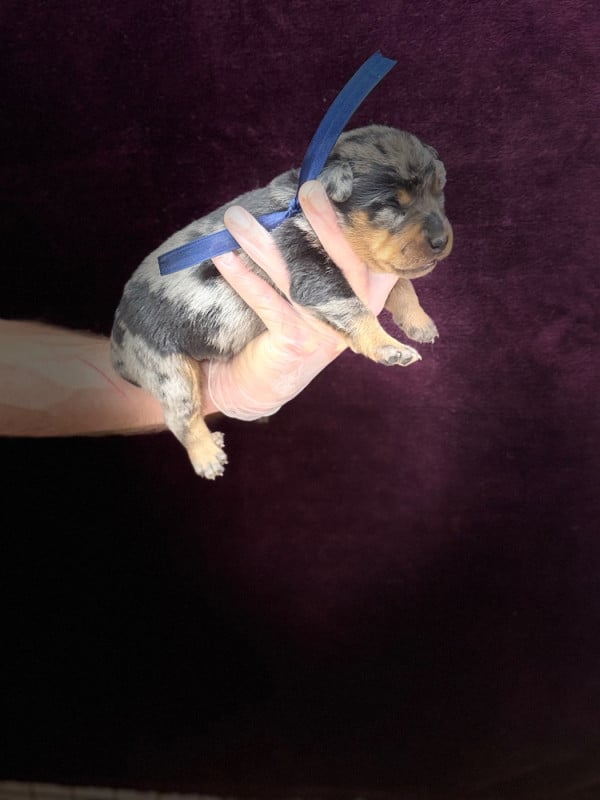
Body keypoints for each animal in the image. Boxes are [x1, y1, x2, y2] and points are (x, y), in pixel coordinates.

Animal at [110, 125, 453, 478]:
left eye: (439, 191)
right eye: (392, 205)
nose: (441, 241)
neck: (301, 207)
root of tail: (116, 347)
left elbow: (402, 283)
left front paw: (419, 322)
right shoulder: (306, 262)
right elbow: (352, 305)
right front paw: (390, 347)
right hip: (169, 371)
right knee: (180, 417)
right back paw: (206, 455)